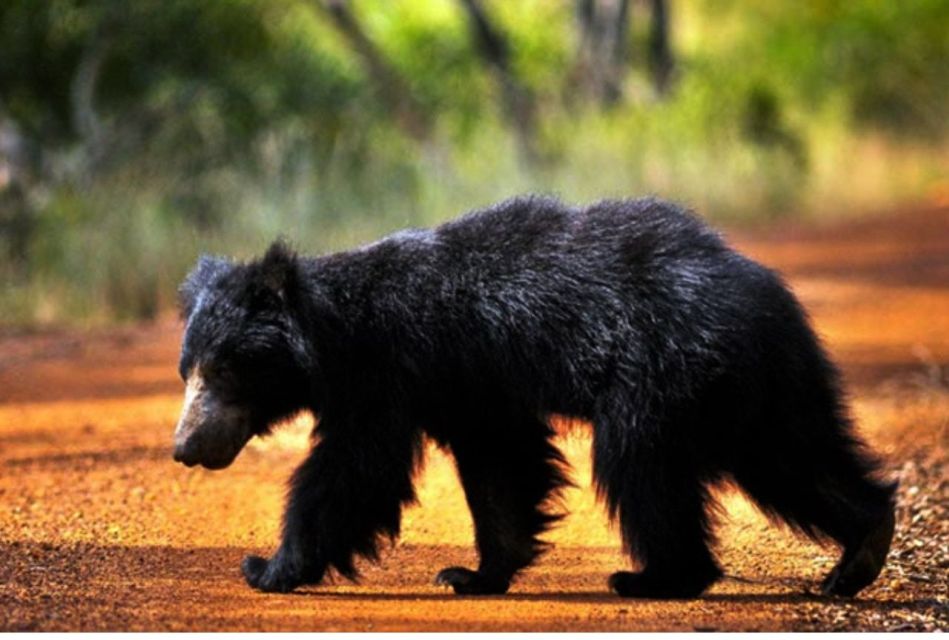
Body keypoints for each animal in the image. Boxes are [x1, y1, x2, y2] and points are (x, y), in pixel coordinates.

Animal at [172, 195, 896, 600]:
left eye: (222, 370)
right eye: (188, 371)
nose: (184, 448)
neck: (332, 333)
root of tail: (760, 289)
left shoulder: (389, 372)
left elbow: (354, 469)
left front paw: (266, 566)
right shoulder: (468, 385)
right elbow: (501, 466)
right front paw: (475, 575)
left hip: (661, 372)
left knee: (641, 467)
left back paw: (655, 578)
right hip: (758, 387)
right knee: (792, 459)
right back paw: (859, 552)